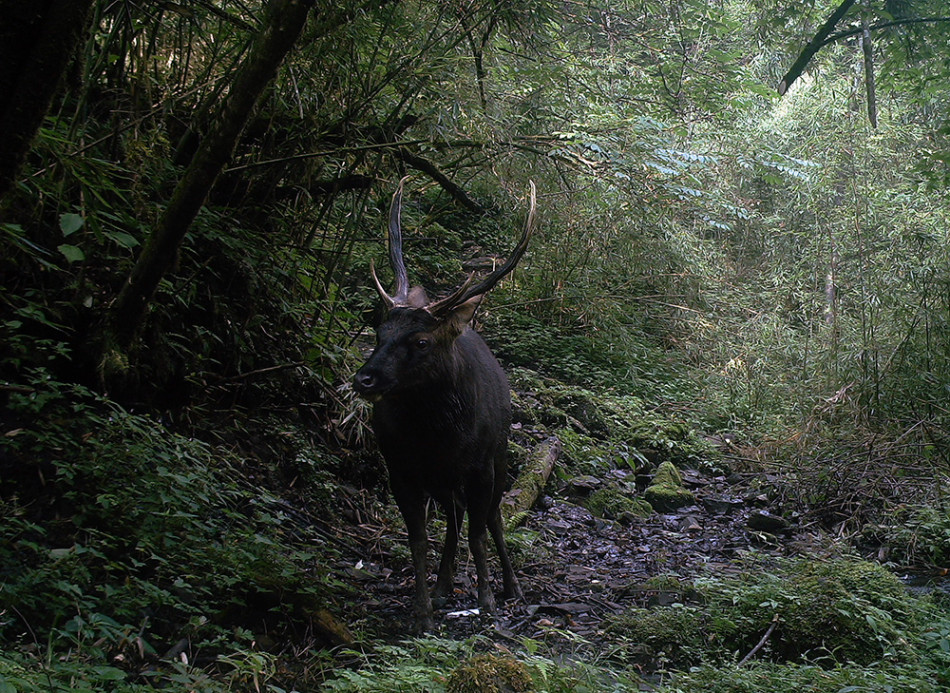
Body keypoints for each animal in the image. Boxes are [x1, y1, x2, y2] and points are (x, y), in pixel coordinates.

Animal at [356, 178, 536, 632]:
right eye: (379, 331)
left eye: (421, 341)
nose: (364, 379)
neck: (436, 437)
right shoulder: (400, 468)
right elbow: (418, 539)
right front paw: (421, 612)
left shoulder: (481, 466)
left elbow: (480, 532)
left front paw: (488, 602)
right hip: (443, 480)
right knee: (453, 519)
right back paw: (442, 587)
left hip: (500, 455)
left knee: (492, 518)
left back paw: (512, 586)